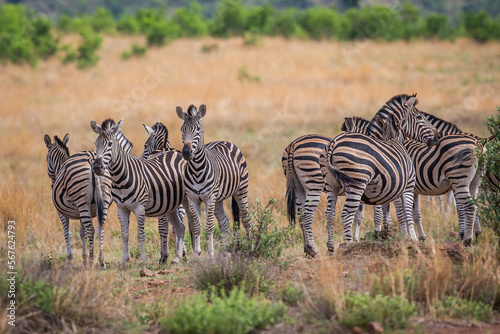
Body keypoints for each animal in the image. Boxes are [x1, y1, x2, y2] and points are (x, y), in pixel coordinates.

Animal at [90, 118, 188, 264]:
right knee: (180, 227)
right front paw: (124, 261)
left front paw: (144, 260)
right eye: (96, 144)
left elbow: (140, 234)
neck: (120, 178)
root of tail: (175, 152)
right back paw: (177, 258)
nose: (96, 167)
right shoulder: (121, 208)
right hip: (171, 203)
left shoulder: (140, 208)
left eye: (110, 144)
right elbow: (124, 234)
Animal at [177, 104, 254, 258]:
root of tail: (224, 140)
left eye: (198, 129)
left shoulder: (209, 197)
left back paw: (251, 248)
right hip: (218, 198)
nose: (187, 153)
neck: (196, 170)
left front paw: (211, 253)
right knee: (224, 221)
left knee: (245, 219)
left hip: (241, 190)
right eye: (182, 130)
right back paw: (223, 252)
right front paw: (196, 253)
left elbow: (209, 226)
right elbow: (196, 226)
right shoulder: (193, 198)